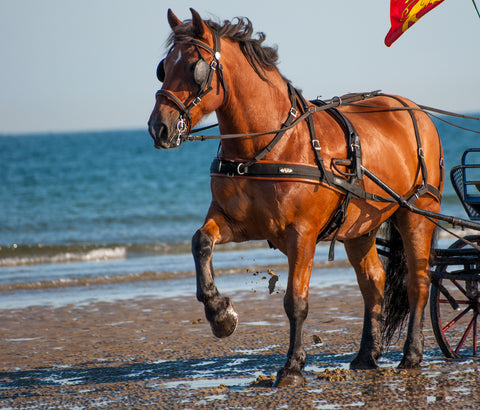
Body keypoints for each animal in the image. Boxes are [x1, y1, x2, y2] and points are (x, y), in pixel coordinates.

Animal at [148, 8, 444, 388]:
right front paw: (219, 312)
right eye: (163, 67)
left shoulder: (302, 235)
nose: (159, 128)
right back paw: (366, 355)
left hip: (417, 213)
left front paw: (292, 366)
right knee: (373, 284)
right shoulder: (235, 222)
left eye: (194, 67)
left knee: (418, 281)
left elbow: (296, 301)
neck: (268, 145)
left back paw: (412, 355)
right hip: (360, 227)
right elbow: (200, 242)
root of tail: (413, 109)